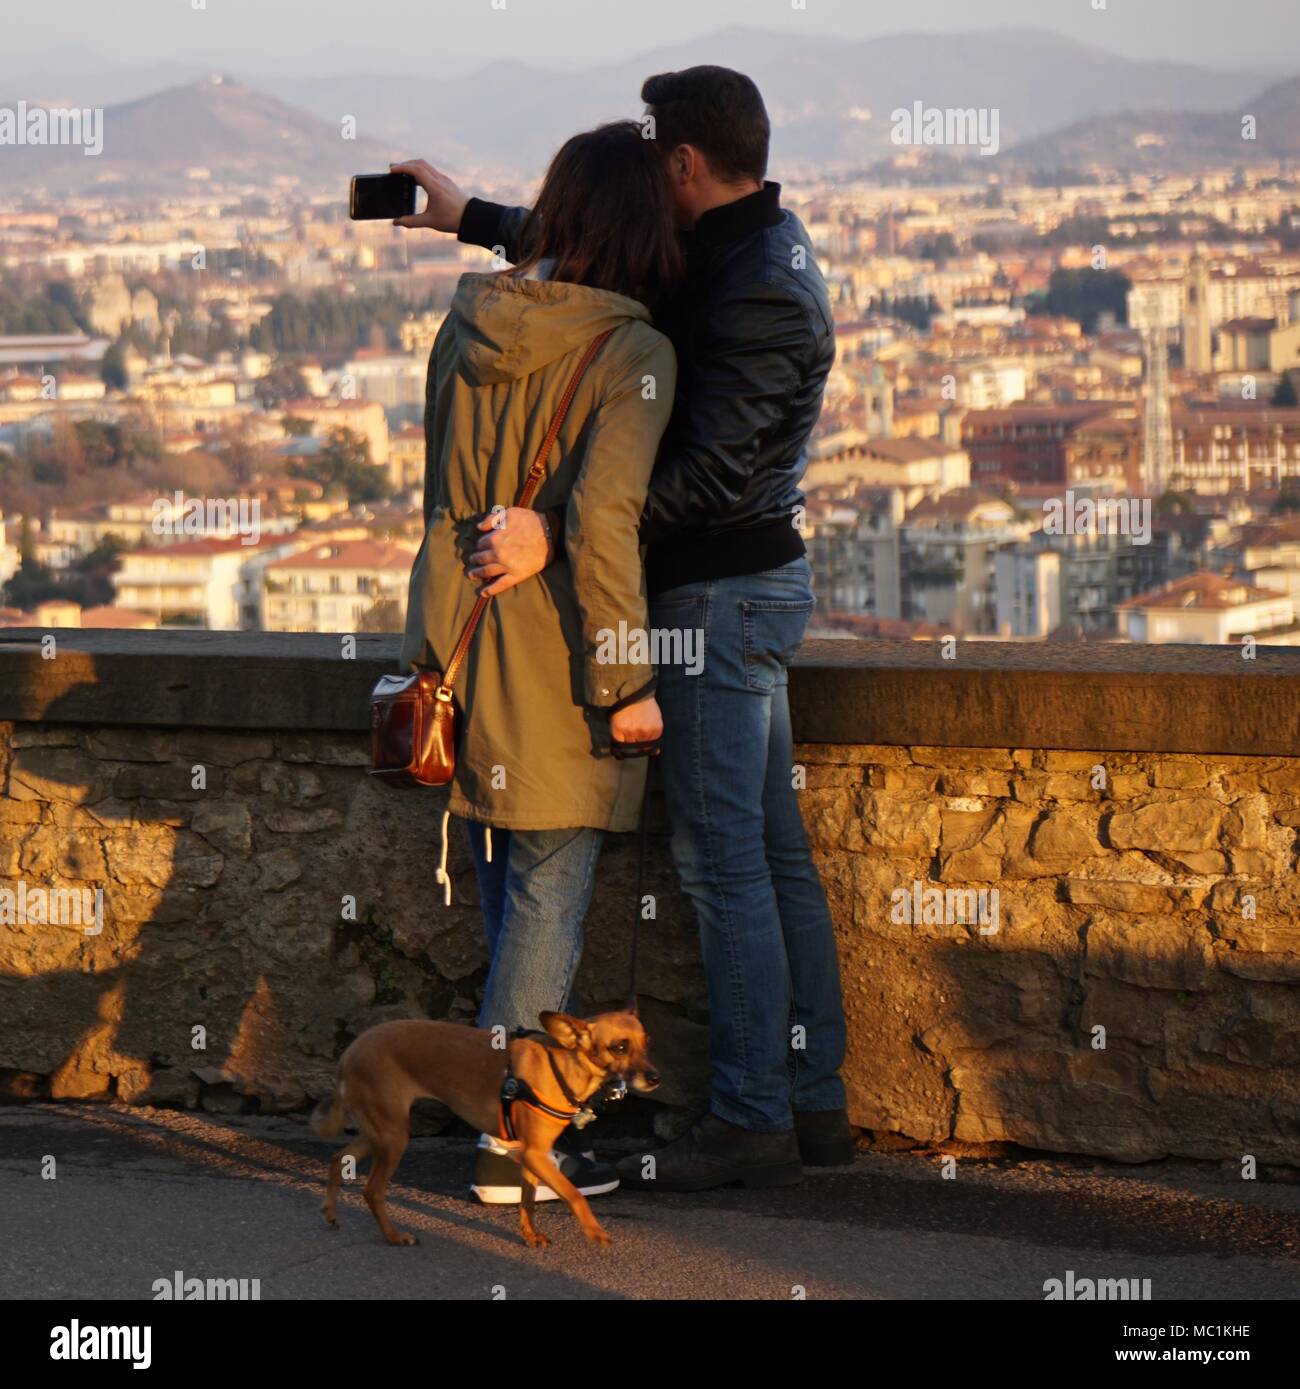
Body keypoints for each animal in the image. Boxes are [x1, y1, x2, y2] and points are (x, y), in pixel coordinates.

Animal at [313, 1011, 661, 1250]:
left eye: (647, 1044)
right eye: (619, 1048)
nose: (655, 1078)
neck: (561, 1066)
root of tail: (349, 1053)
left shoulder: (533, 1158)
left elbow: (527, 1201)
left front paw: (530, 1235)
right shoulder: (536, 1156)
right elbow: (574, 1194)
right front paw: (594, 1231)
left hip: (380, 1133)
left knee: (338, 1157)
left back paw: (330, 1212)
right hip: (393, 1137)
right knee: (372, 1190)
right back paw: (394, 1236)